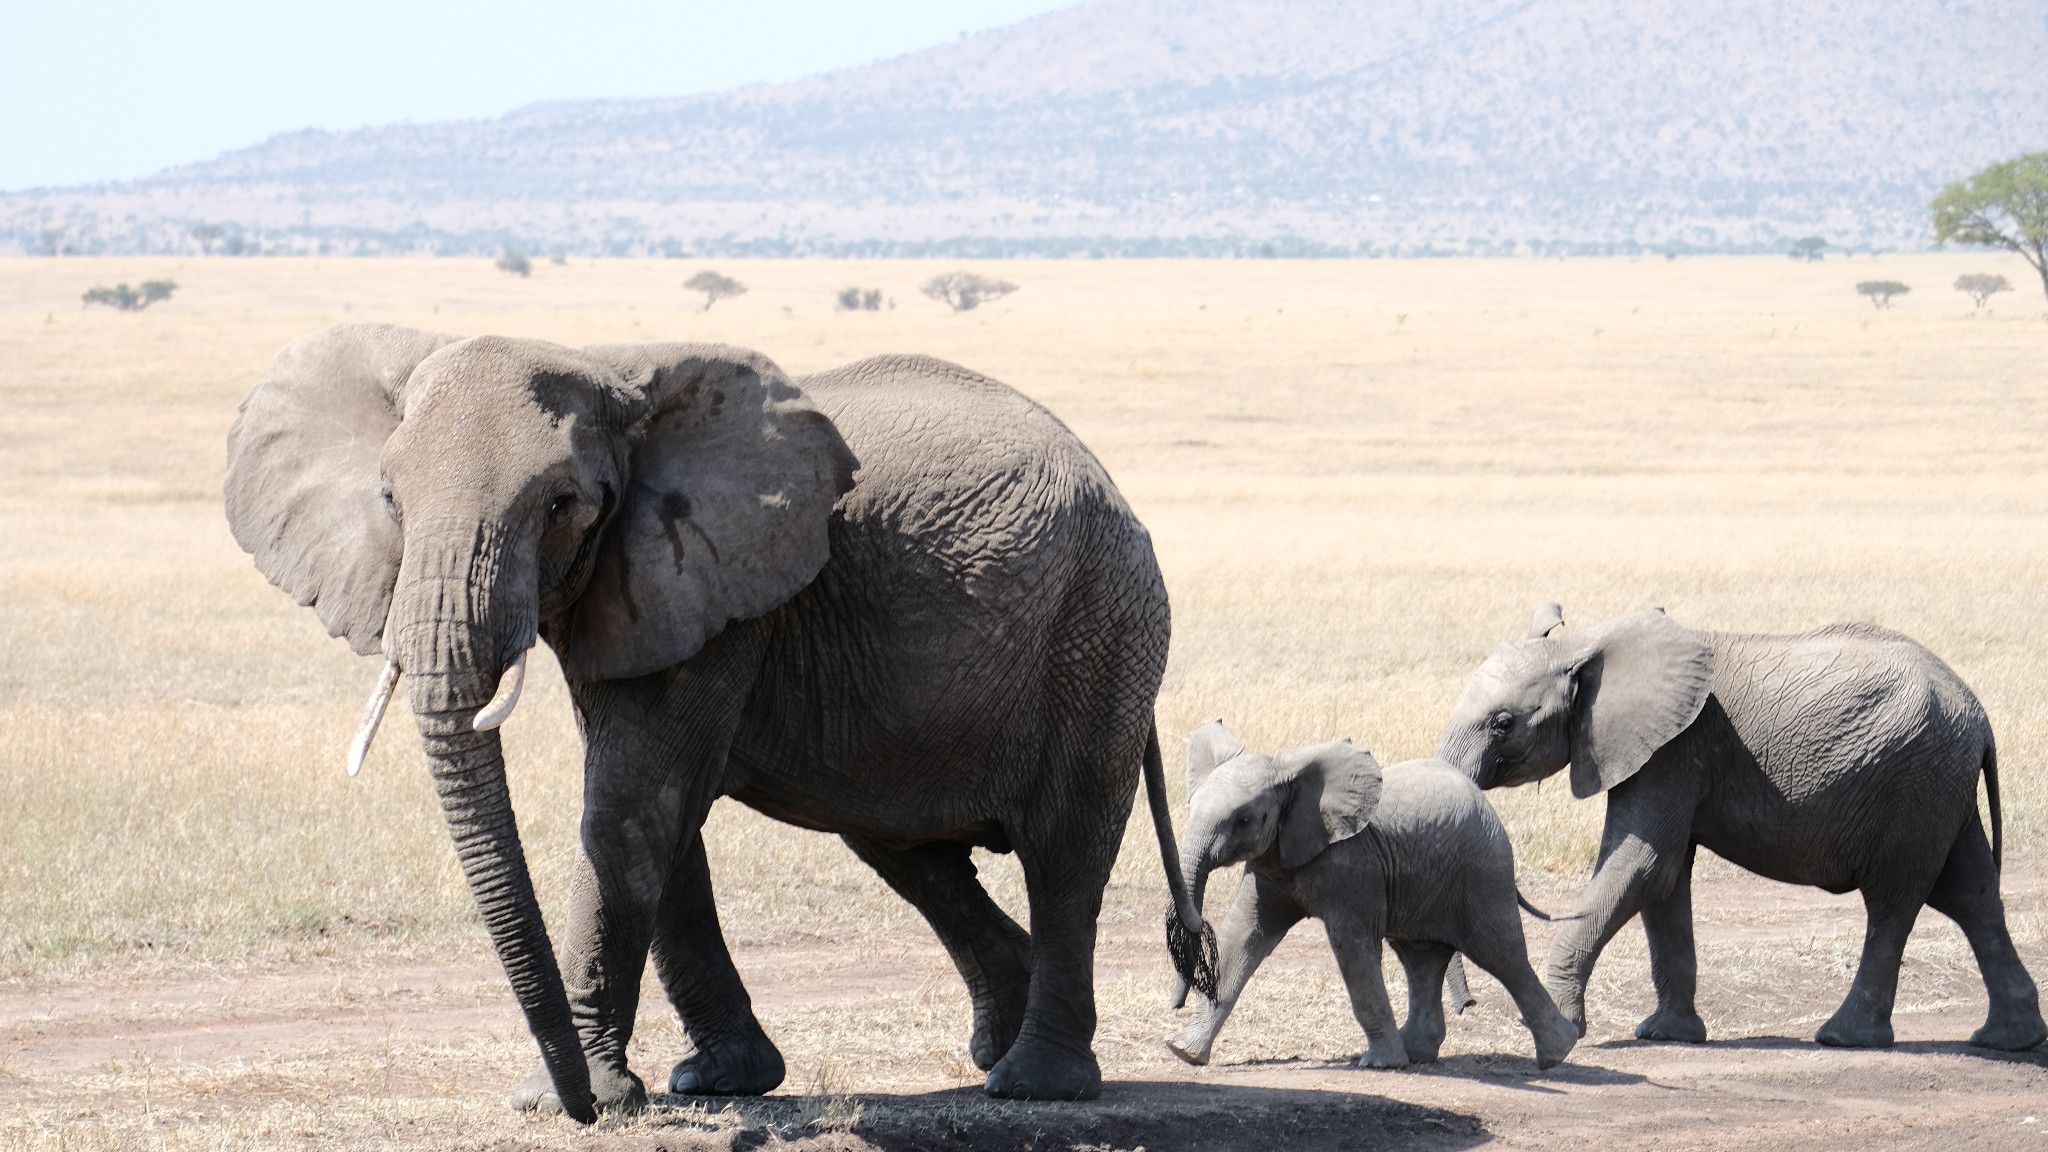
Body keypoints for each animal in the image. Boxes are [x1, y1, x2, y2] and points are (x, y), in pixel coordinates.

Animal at [226, 325, 1204, 1123]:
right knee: (911, 852)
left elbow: (632, 803)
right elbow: (658, 816)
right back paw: (994, 1052)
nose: (578, 1105)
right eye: (390, 499)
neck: (610, 371)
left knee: (1065, 847)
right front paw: (715, 1083)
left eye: (561, 505)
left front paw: (572, 1097)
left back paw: (1035, 1084)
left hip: (1102, 628)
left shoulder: (717, 587)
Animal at [1163, 717, 1572, 1065]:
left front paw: (1381, 1064)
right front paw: (1184, 1052)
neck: (1290, 780)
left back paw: (1557, 1053)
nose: (1175, 1003)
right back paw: (1417, 1053)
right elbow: (1241, 936)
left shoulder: (1352, 865)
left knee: (1500, 953)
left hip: (1482, 870)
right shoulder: (1271, 863)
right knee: (1421, 960)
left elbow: (1353, 947)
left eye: (1243, 819)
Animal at [1433, 602, 2039, 1049]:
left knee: (1894, 901)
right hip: (1938, 782)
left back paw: (1845, 1038)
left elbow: (1642, 867)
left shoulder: (1674, 750)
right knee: (1970, 893)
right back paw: (2008, 1041)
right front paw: (1666, 1036)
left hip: (1916, 780)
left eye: (1503, 723)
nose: (1469, 1007)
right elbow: (1664, 882)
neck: (1589, 642)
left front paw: (1563, 1031)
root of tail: (1979, 714)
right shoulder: (1663, 752)